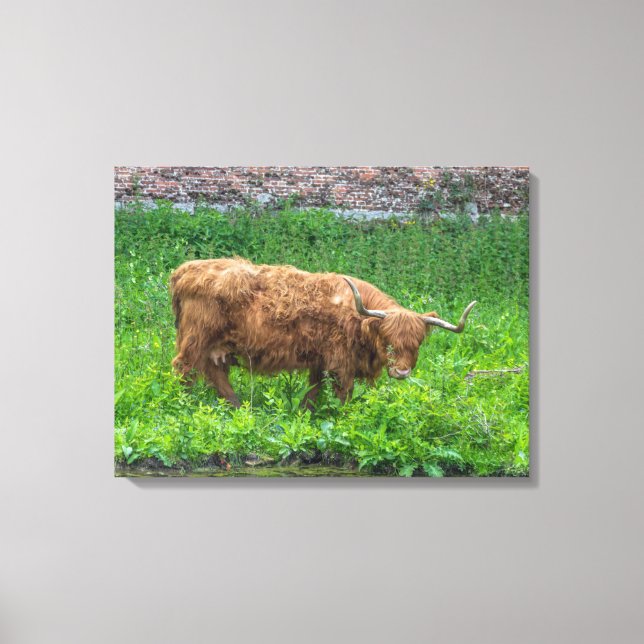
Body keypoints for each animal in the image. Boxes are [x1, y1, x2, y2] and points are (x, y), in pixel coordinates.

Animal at [170, 257, 476, 408]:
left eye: (418, 342)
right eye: (388, 341)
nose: (401, 372)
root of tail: (184, 270)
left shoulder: (319, 360)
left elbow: (313, 392)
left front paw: (304, 413)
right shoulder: (340, 362)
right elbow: (343, 394)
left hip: (215, 347)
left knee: (215, 374)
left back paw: (238, 406)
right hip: (196, 338)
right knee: (184, 368)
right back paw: (184, 406)